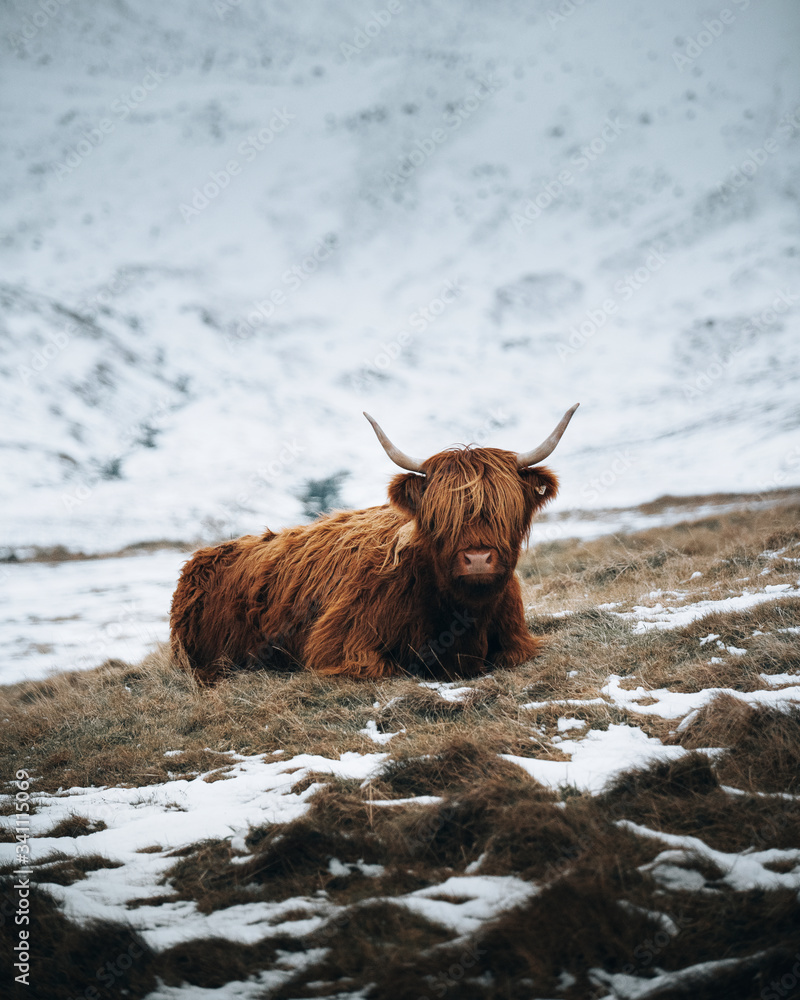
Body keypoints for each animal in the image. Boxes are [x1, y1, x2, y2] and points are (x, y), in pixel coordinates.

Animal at [172, 404, 580, 680]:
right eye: (437, 514)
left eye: (506, 507)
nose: (478, 559)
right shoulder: (338, 644)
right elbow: (383, 667)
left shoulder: (517, 641)